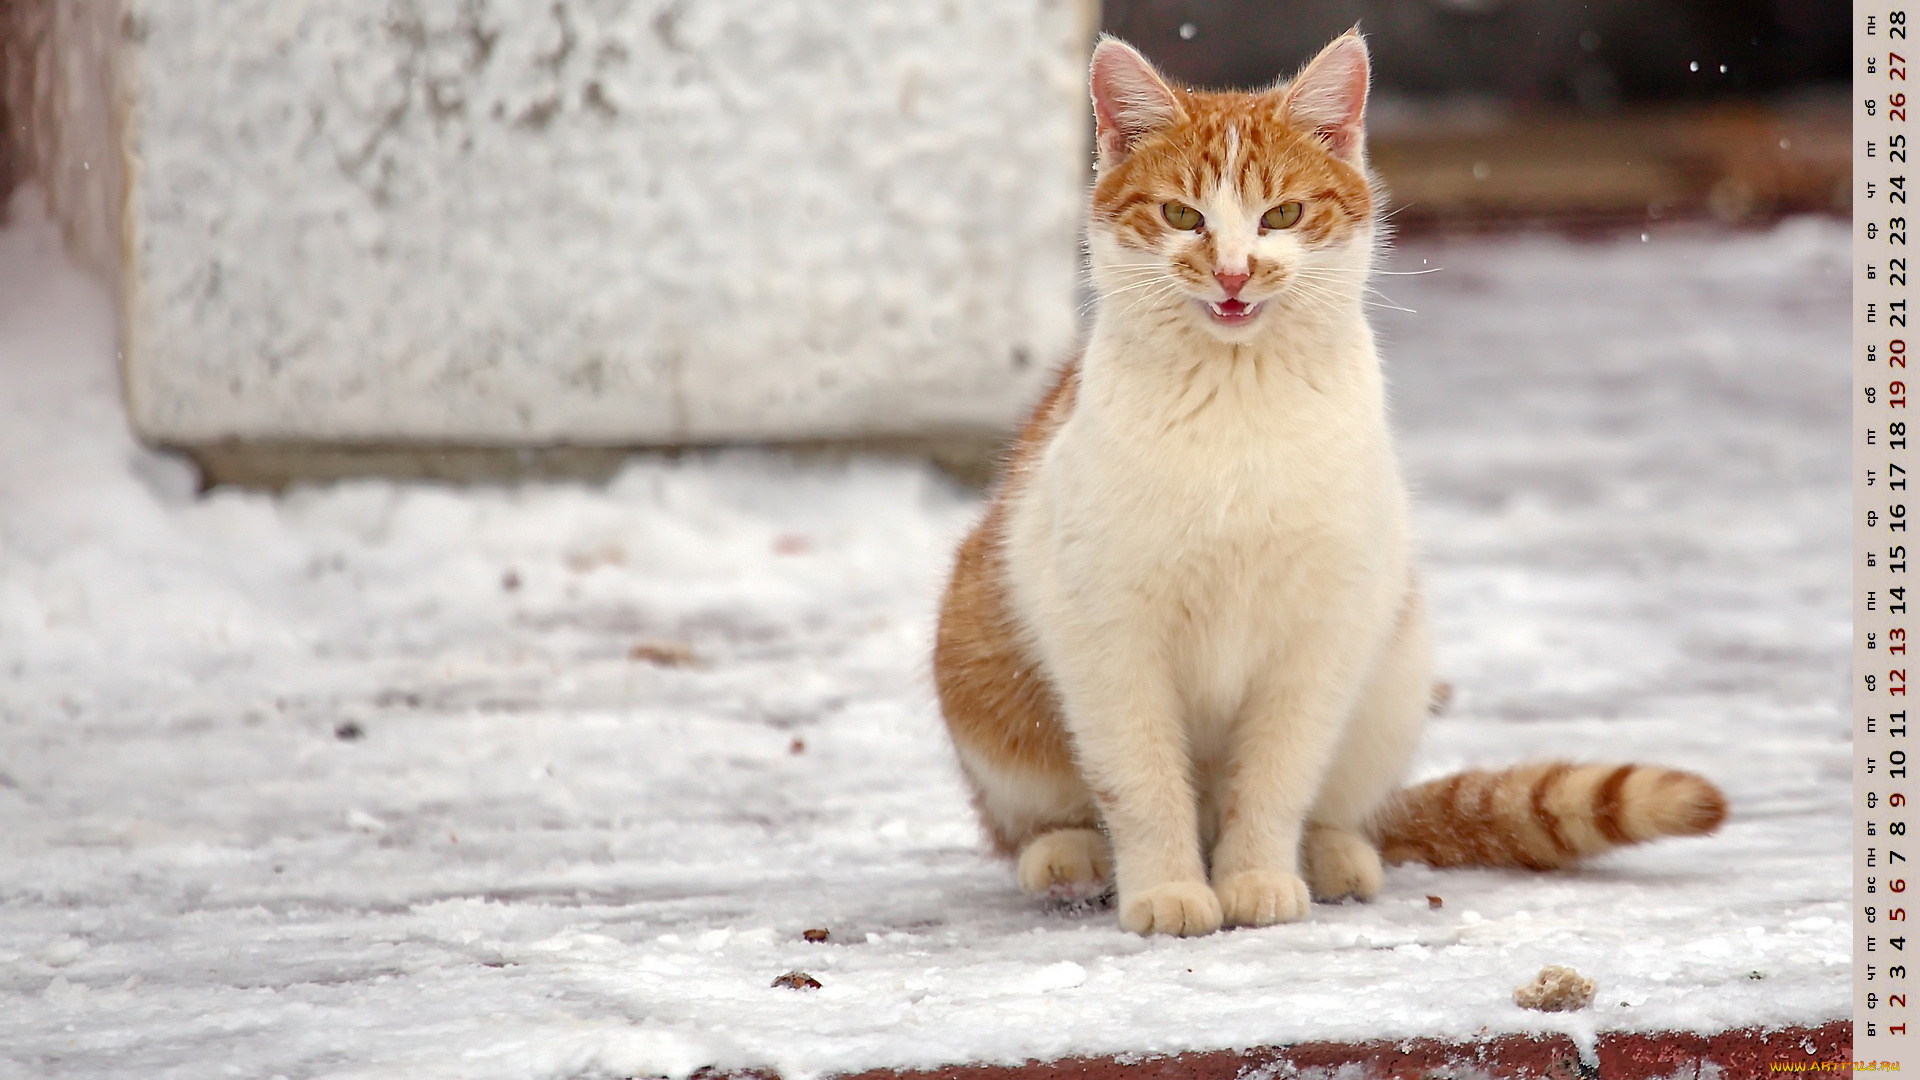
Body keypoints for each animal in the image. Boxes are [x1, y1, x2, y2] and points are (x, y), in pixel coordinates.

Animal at [929, 33, 1728, 933]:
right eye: (1181, 216)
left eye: (1281, 215)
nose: (1233, 273)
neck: (1238, 407)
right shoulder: (1106, 634)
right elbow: (1142, 782)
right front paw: (1168, 889)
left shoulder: (1322, 633)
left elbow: (1275, 780)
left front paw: (1257, 878)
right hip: (979, 661)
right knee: (1025, 824)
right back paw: (1069, 857)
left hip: (1396, 667)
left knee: (1341, 804)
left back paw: (1333, 853)